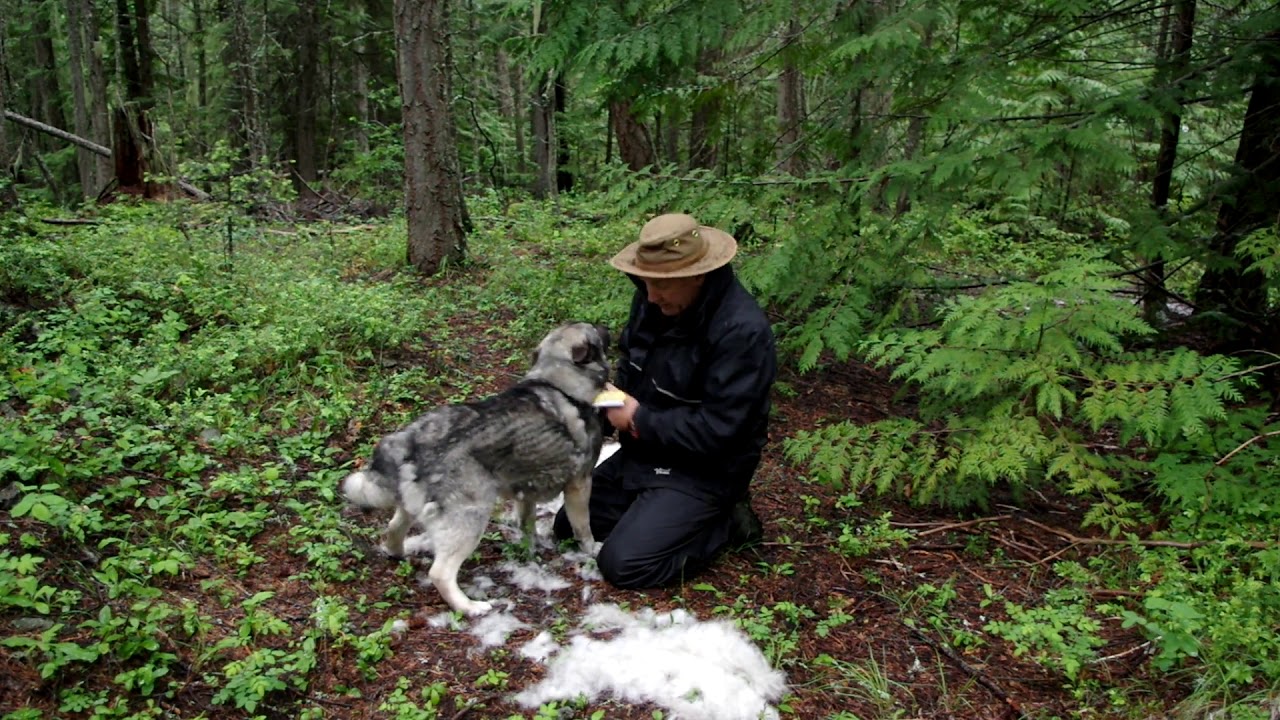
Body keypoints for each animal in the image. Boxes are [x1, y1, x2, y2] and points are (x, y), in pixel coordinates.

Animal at [345, 322, 609, 614]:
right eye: (594, 331)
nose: (606, 327)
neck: (557, 381)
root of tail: (410, 441)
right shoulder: (580, 484)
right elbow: (582, 527)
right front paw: (591, 548)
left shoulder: (525, 490)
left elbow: (526, 524)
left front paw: (530, 550)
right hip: (471, 518)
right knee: (440, 573)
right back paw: (470, 607)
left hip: (413, 508)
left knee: (393, 528)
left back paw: (397, 553)